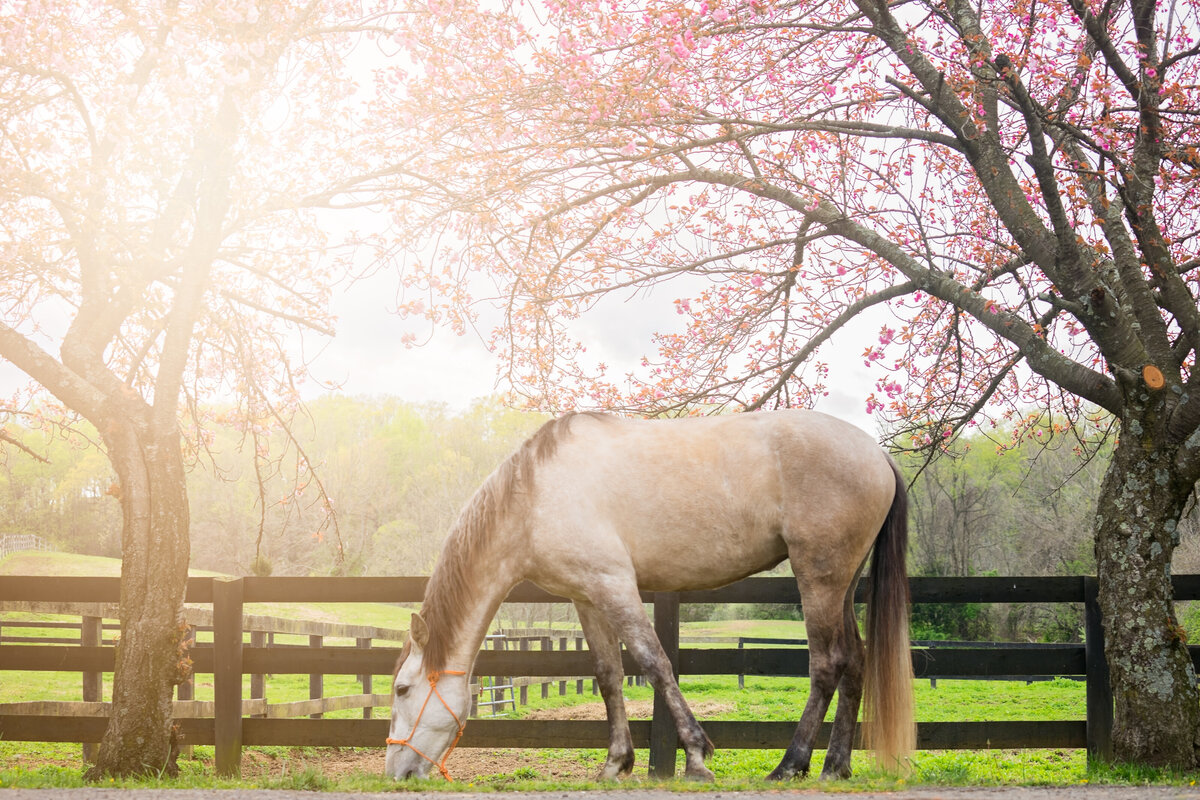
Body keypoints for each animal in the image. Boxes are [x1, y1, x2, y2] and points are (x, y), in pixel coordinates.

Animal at [388, 412, 912, 782]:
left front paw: (697, 758)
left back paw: (790, 764)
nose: (397, 772)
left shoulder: (615, 585)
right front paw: (615, 763)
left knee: (827, 664)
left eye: (401, 690)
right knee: (855, 663)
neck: (534, 496)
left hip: (818, 578)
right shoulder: (587, 596)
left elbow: (654, 663)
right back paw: (835, 767)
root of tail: (876, 452)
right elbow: (609, 677)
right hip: (843, 583)